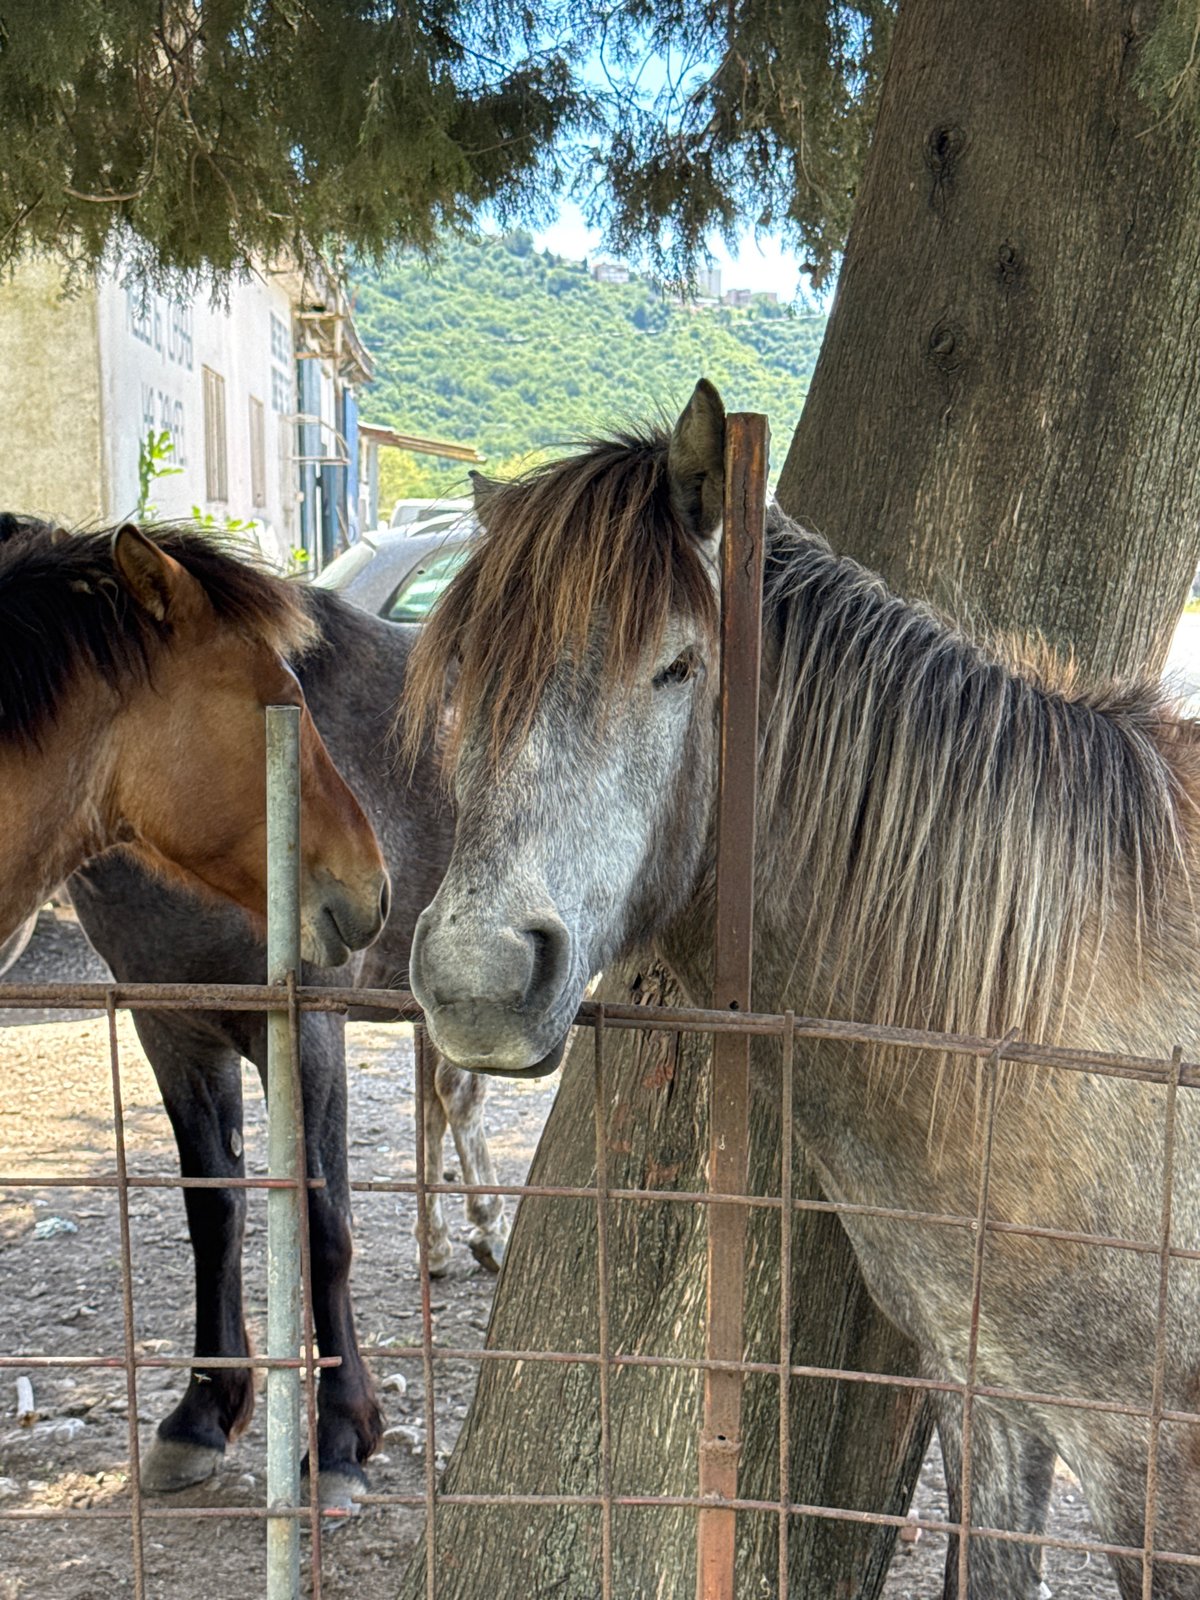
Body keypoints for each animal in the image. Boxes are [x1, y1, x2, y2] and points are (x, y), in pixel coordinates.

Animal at [58, 576, 508, 1510]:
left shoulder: (305, 1026)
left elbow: (325, 1218)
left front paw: (339, 1437)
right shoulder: (172, 1029)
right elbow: (214, 1210)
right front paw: (200, 1413)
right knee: (447, 1096)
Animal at [403, 380, 1200, 1599]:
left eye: (679, 666)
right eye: (466, 676)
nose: (477, 981)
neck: (1047, 1020)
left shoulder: (1152, 1464)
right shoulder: (987, 1400)